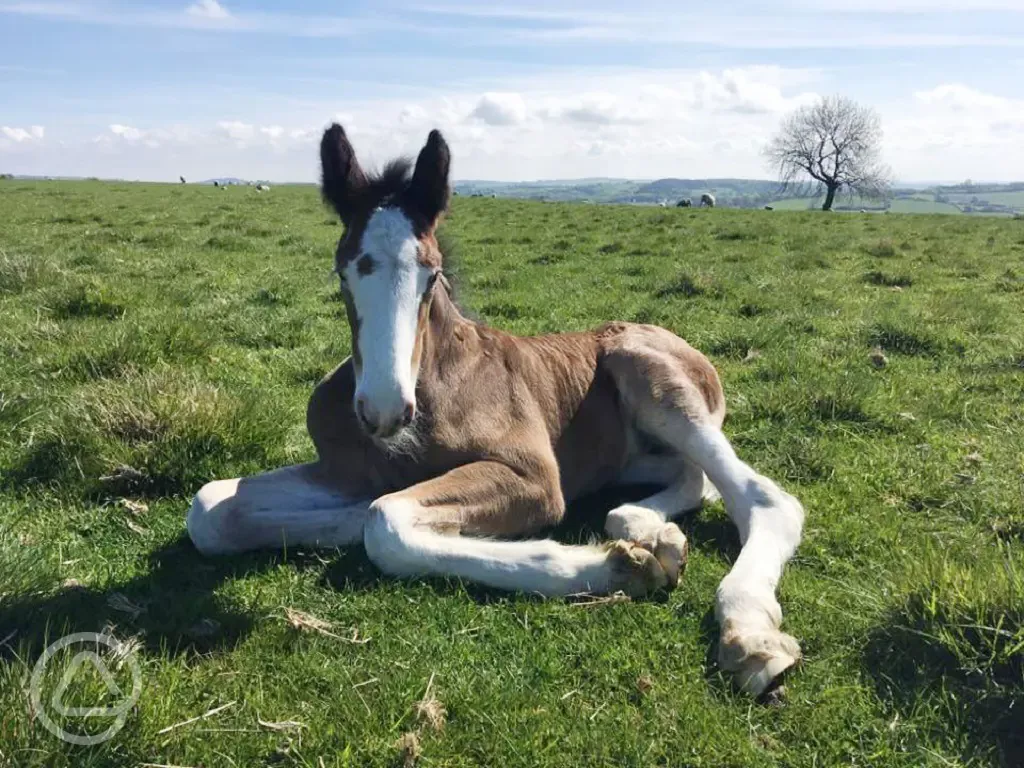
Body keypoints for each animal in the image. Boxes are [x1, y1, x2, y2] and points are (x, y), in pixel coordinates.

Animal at [188, 124, 802, 696]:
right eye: (343, 271)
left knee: (766, 498)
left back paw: (748, 632)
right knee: (690, 480)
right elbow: (212, 509)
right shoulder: (343, 471)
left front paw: (617, 567)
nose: (384, 410)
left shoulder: (533, 474)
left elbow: (385, 523)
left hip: (652, 378)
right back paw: (647, 526)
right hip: (632, 455)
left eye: (431, 274)